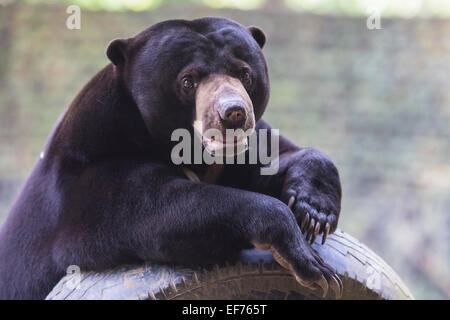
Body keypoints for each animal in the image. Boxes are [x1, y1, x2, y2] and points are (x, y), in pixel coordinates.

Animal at [0, 17, 342, 298]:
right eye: (188, 80)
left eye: (244, 74)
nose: (233, 113)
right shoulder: (91, 170)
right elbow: (156, 209)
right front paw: (313, 265)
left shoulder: (243, 150)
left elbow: (277, 156)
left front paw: (314, 212)